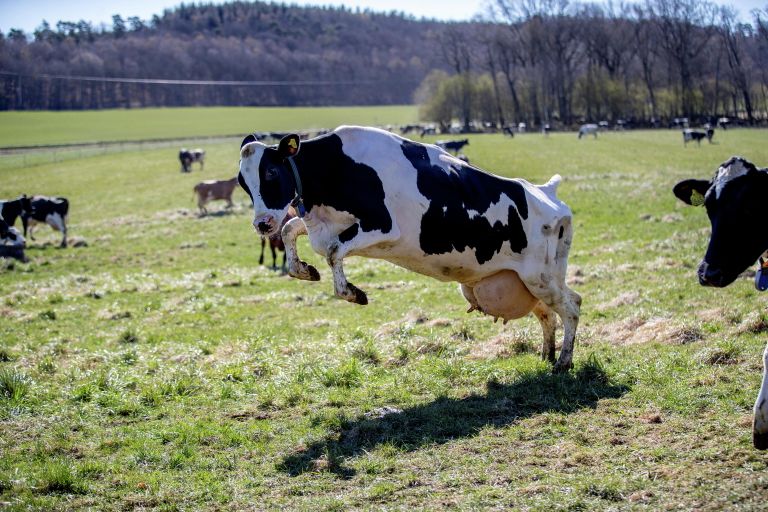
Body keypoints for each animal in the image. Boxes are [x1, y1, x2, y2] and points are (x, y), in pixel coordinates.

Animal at [238, 126, 581, 372]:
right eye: (243, 182)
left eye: (271, 172)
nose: (262, 224)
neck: (337, 168)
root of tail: (546, 192)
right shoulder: (321, 225)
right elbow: (291, 230)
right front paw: (304, 270)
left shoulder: (382, 226)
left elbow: (334, 251)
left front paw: (353, 293)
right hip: (527, 280)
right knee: (548, 314)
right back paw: (547, 355)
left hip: (541, 276)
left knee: (572, 306)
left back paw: (563, 363)